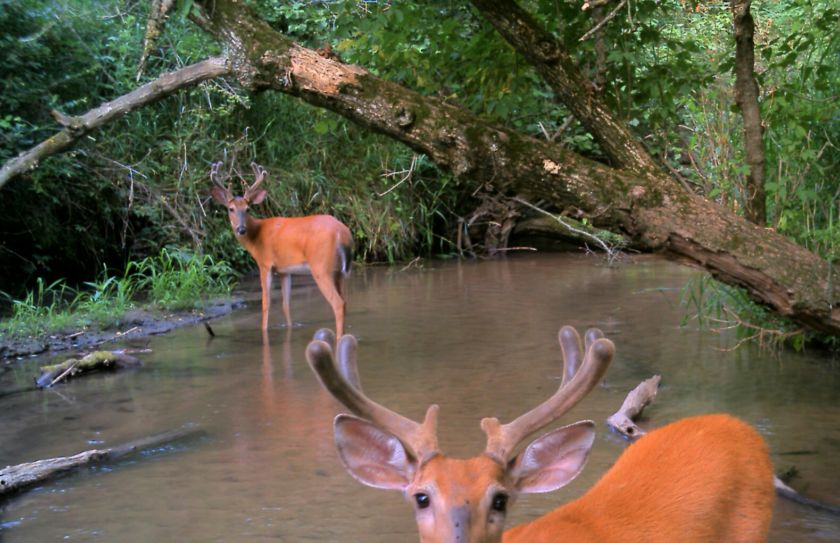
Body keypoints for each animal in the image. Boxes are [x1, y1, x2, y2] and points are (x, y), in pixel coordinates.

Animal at [213, 163, 354, 336]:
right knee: (345, 301)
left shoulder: (265, 264)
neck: (256, 235)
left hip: (321, 267)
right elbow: (286, 305)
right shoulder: (284, 270)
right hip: (339, 271)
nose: (241, 229)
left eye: (247, 208)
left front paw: (264, 331)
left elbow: (266, 303)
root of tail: (343, 233)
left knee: (338, 303)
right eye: (230, 209)